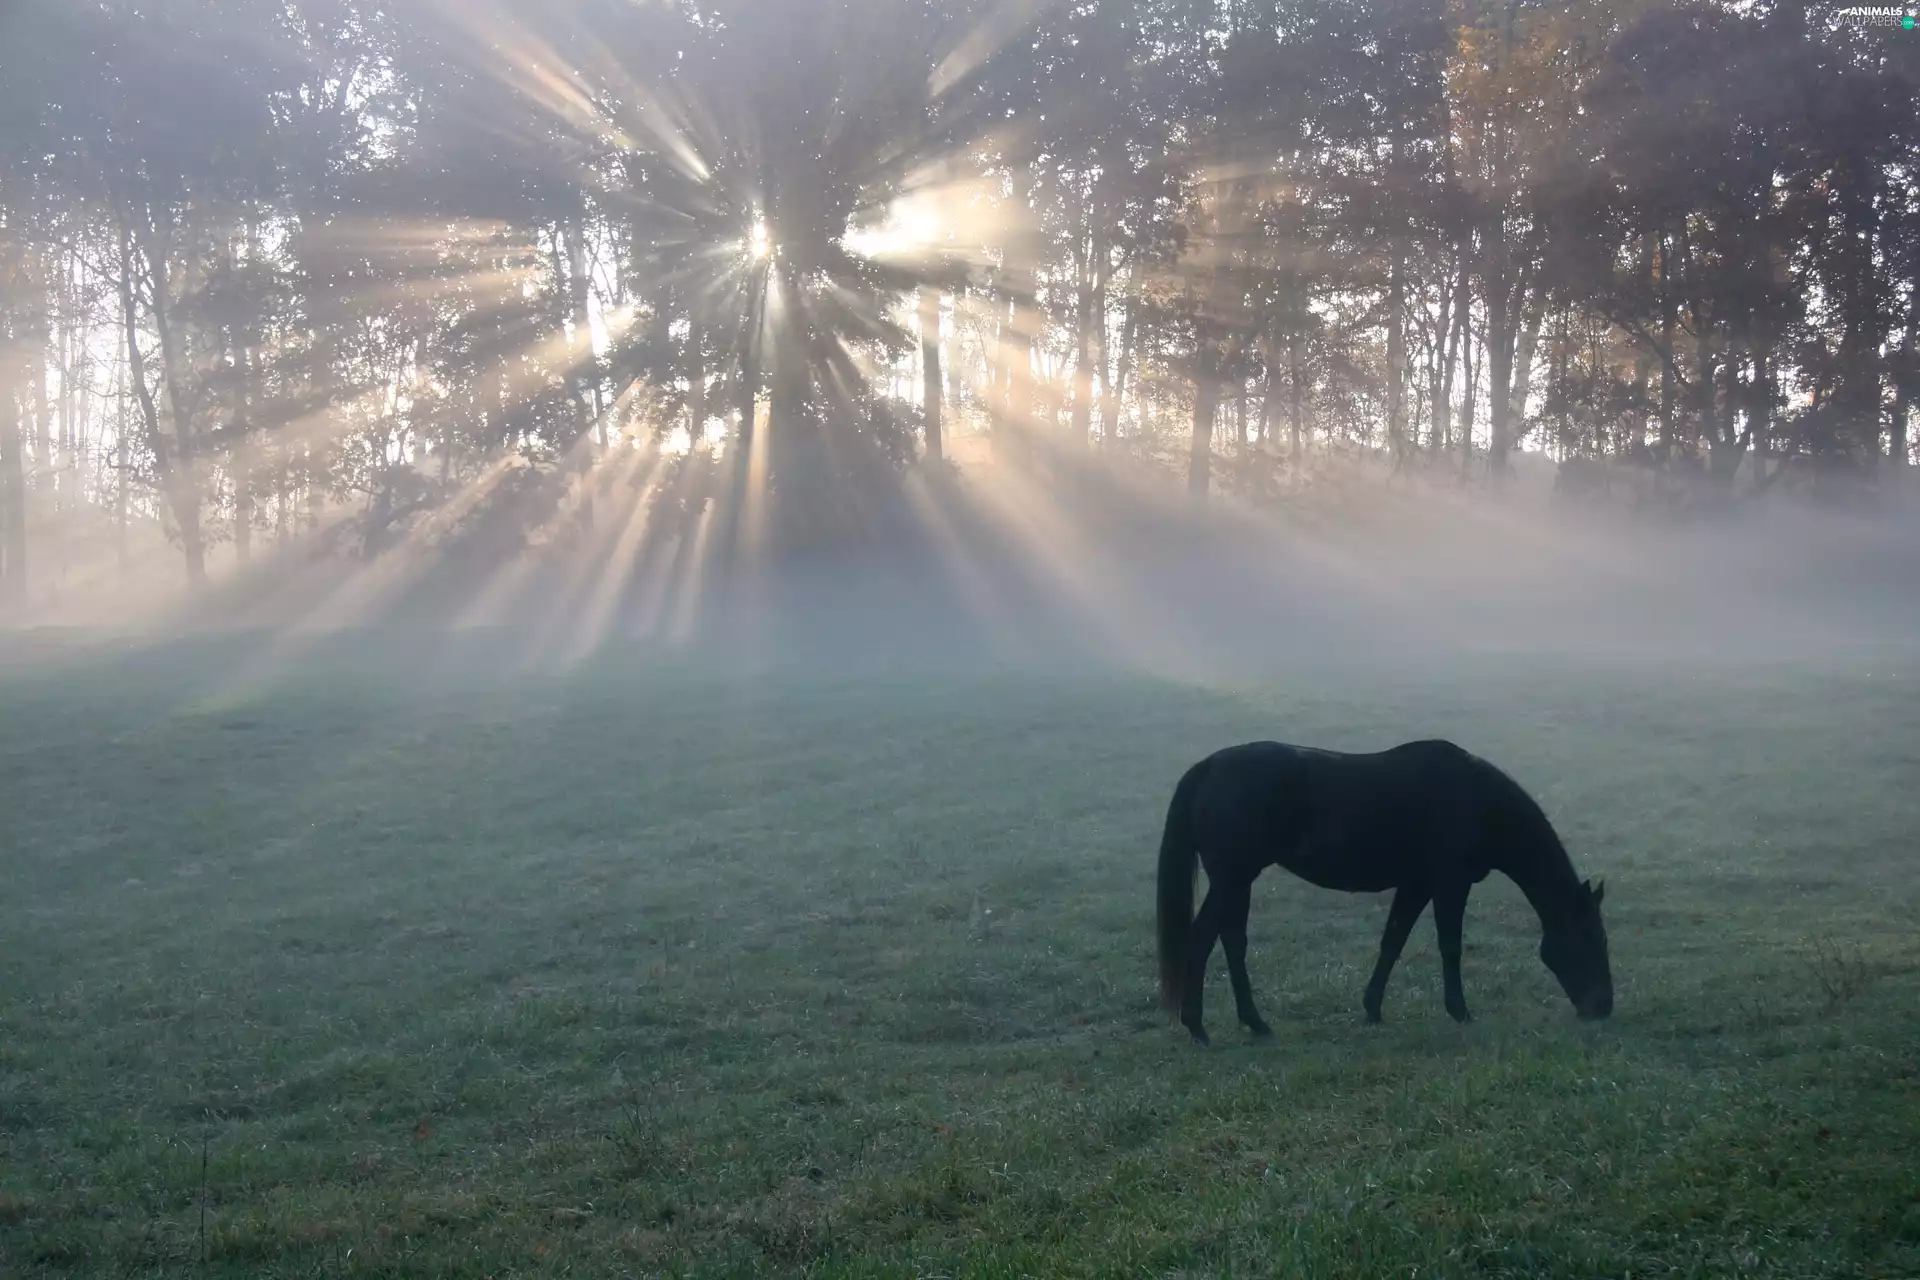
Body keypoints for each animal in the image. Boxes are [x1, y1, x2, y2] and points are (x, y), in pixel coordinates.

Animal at [1155, 739, 1613, 1045]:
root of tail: (1208, 766)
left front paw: (1372, 1008)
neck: (1476, 800)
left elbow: (1392, 941)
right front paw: (1460, 1011)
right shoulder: (1450, 883)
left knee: (1232, 942)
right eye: (1591, 939)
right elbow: (1450, 946)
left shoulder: (1415, 884)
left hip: (1236, 881)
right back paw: (1198, 1026)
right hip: (1232, 878)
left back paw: (1254, 1022)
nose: (1604, 1008)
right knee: (1202, 939)